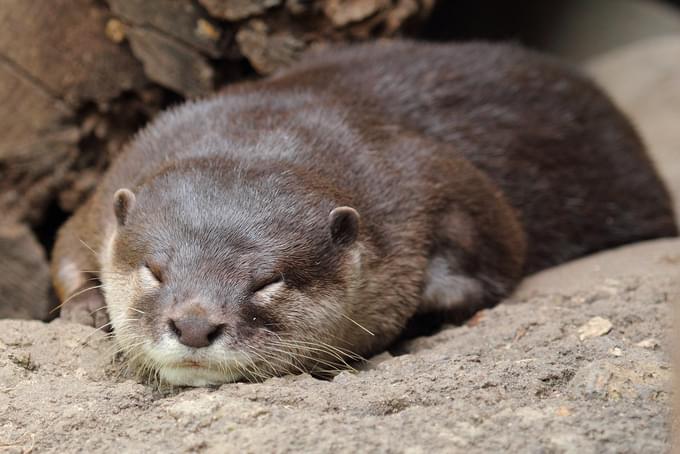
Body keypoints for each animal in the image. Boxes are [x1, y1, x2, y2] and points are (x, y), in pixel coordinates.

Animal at [50, 40, 676, 384]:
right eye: (155, 270)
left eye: (267, 282)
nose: (196, 325)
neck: (264, 133)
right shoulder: (112, 186)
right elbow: (64, 248)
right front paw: (85, 308)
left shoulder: (426, 176)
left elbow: (500, 243)